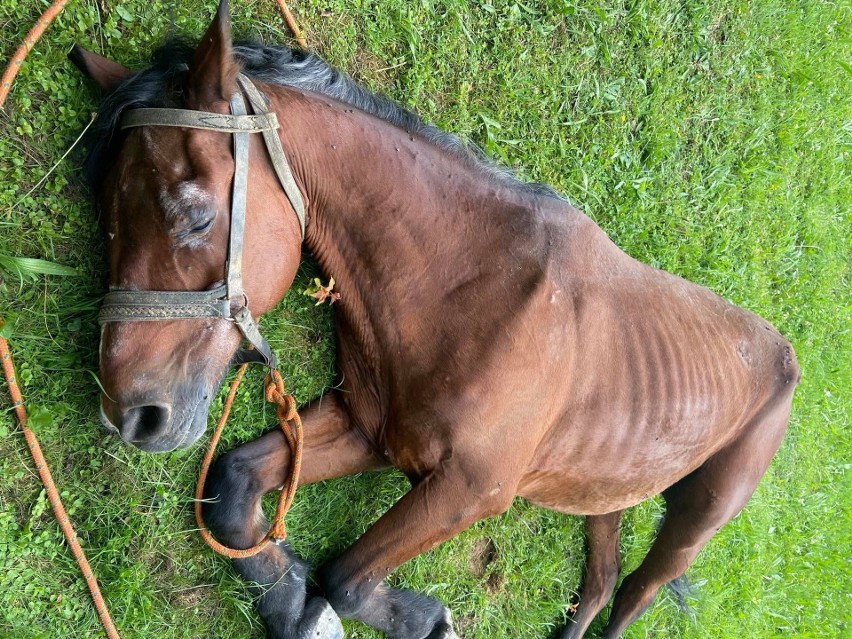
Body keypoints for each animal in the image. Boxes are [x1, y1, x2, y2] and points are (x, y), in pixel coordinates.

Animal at [71, 2, 800, 636]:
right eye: (107, 217)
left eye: (194, 216)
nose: (131, 412)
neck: (469, 288)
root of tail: (786, 354)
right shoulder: (368, 426)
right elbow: (232, 487)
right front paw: (291, 605)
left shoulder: (470, 489)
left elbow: (345, 578)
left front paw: (414, 618)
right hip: (605, 493)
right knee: (599, 580)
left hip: (694, 524)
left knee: (633, 594)